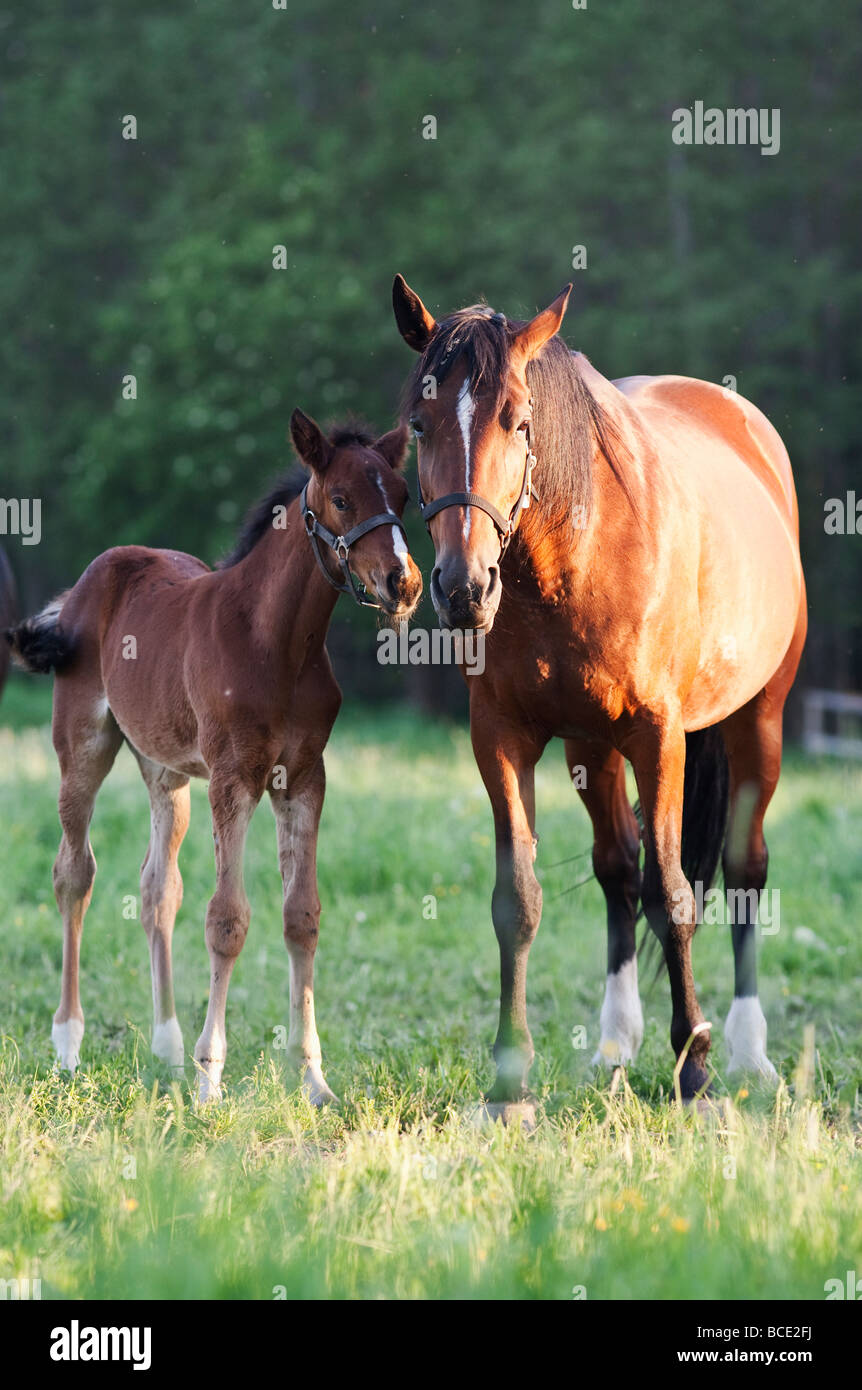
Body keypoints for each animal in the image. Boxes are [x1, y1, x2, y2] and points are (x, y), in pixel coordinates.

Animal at [5, 405, 425, 1100]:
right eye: (341, 498)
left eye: (404, 496)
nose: (405, 583)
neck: (276, 641)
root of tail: (88, 582)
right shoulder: (234, 778)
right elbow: (227, 920)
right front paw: (210, 1079)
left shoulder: (303, 778)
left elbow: (301, 916)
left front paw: (312, 1079)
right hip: (83, 745)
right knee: (74, 873)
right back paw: (68, 1043)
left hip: (167, 771)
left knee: (157, 890)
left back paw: (167, 1048)